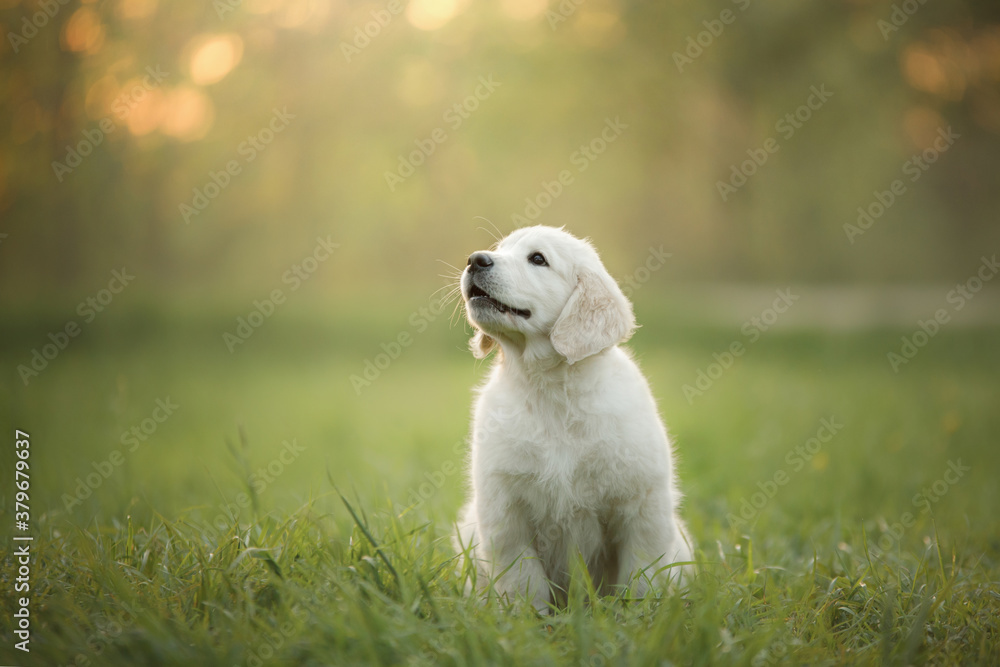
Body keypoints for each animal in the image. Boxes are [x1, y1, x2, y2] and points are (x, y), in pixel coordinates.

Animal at [458, 226, 692, 612]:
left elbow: (641, 576)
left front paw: (640, 618)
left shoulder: (641, 508)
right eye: (499, 248)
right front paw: (527, 621)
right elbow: (523, 581)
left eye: (538, 259)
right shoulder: (505, 514)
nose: (475, 259)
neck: (551, 390)